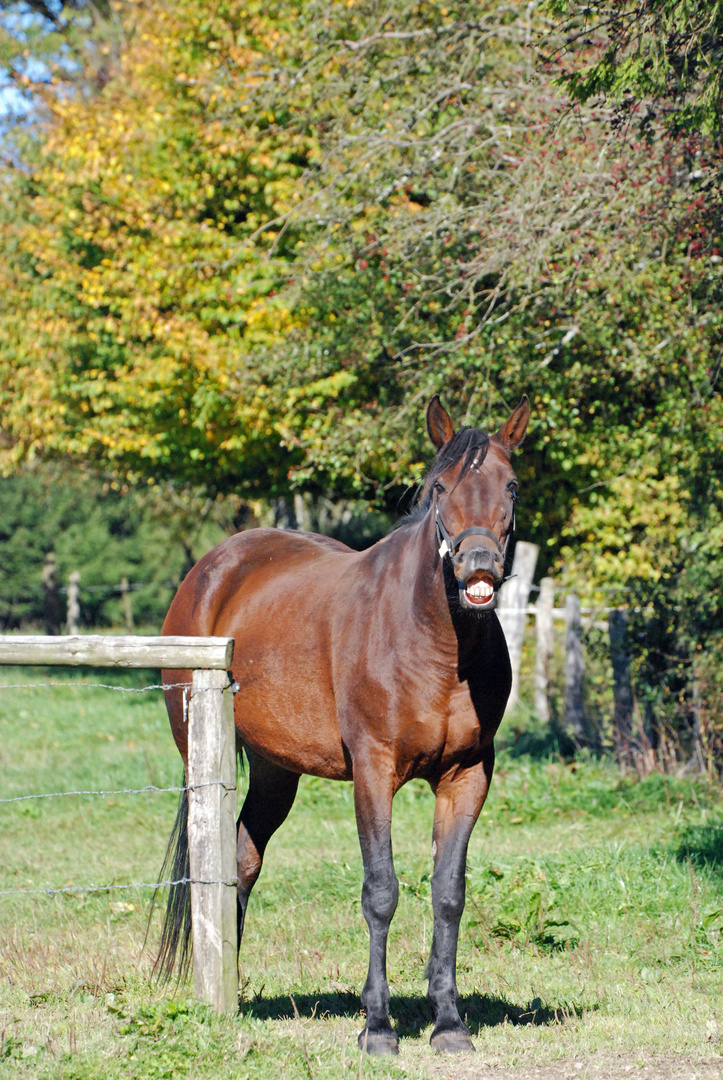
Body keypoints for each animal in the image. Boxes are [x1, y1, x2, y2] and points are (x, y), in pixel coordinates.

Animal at [157, 395, 527, 1054]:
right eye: (440, 487)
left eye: (510, 485)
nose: (479, 568)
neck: (432, 643)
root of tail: (212, 569)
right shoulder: (373, 771)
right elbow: (381, 891)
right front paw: (377, 1027)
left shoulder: (467, 776)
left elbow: (448, 893)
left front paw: (448, 1023)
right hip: (200, 758)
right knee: (210, 866)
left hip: (276, 770)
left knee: (242, 859)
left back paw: (235, 990)